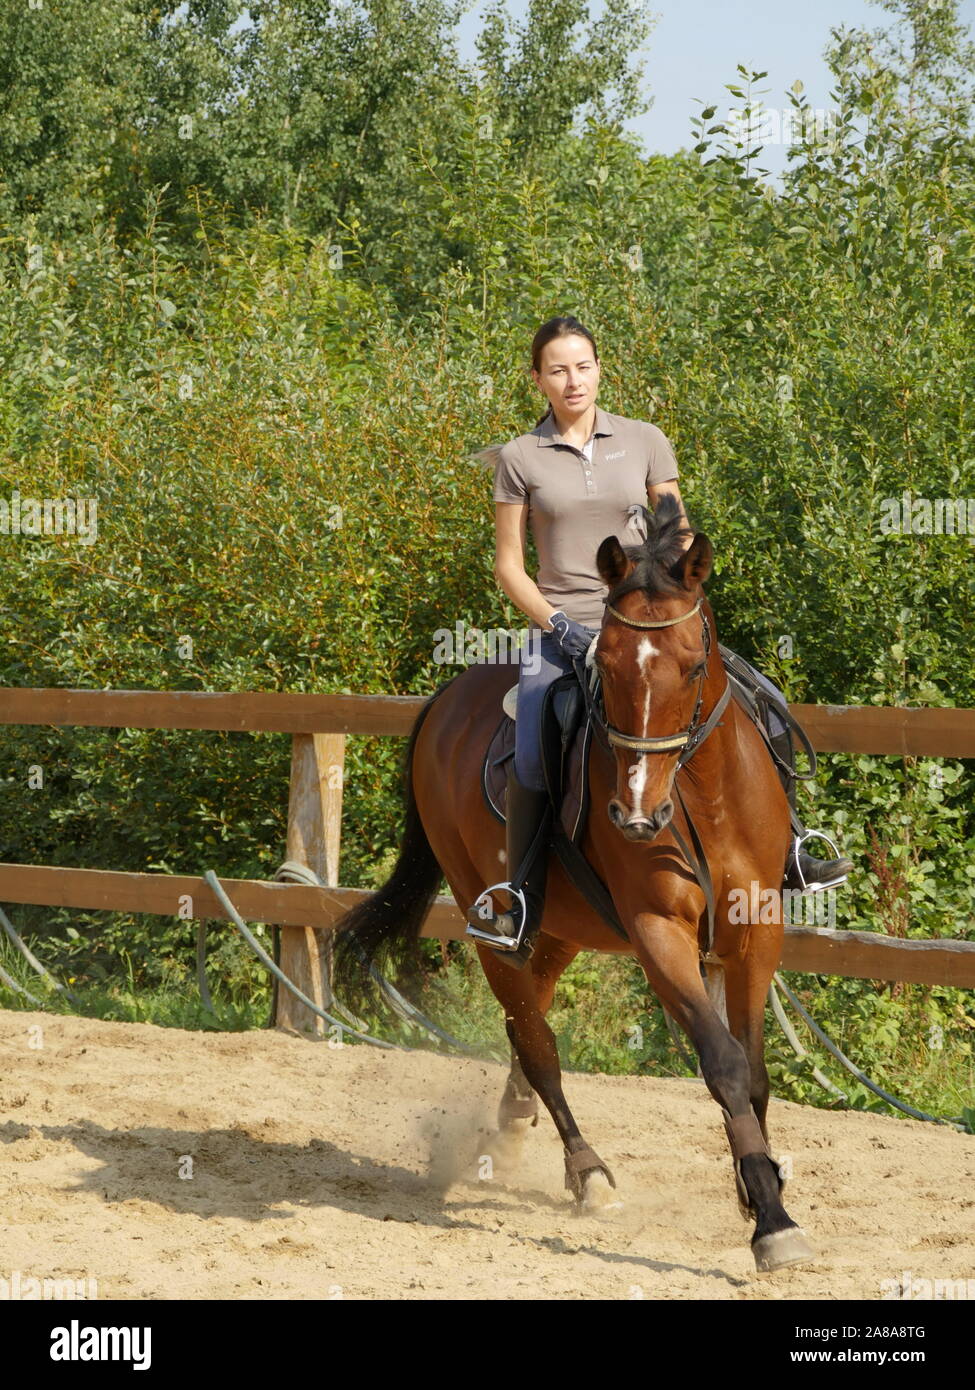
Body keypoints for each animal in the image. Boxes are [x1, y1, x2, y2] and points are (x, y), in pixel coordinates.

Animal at [332, 496, 814, 1272]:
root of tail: (446, 696)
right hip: (493, 920)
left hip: (560, 926)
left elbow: (757, 1071)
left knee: (529, 1017)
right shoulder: (657, 933)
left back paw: (512, 1131)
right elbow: (724, 1064)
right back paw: (585, 1172)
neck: (702, 799)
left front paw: (757, 1186)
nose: (638, 815)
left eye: (691, 666)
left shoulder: (756, 927)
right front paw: (771, 1221)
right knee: (537, 1042)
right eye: (606, 665)